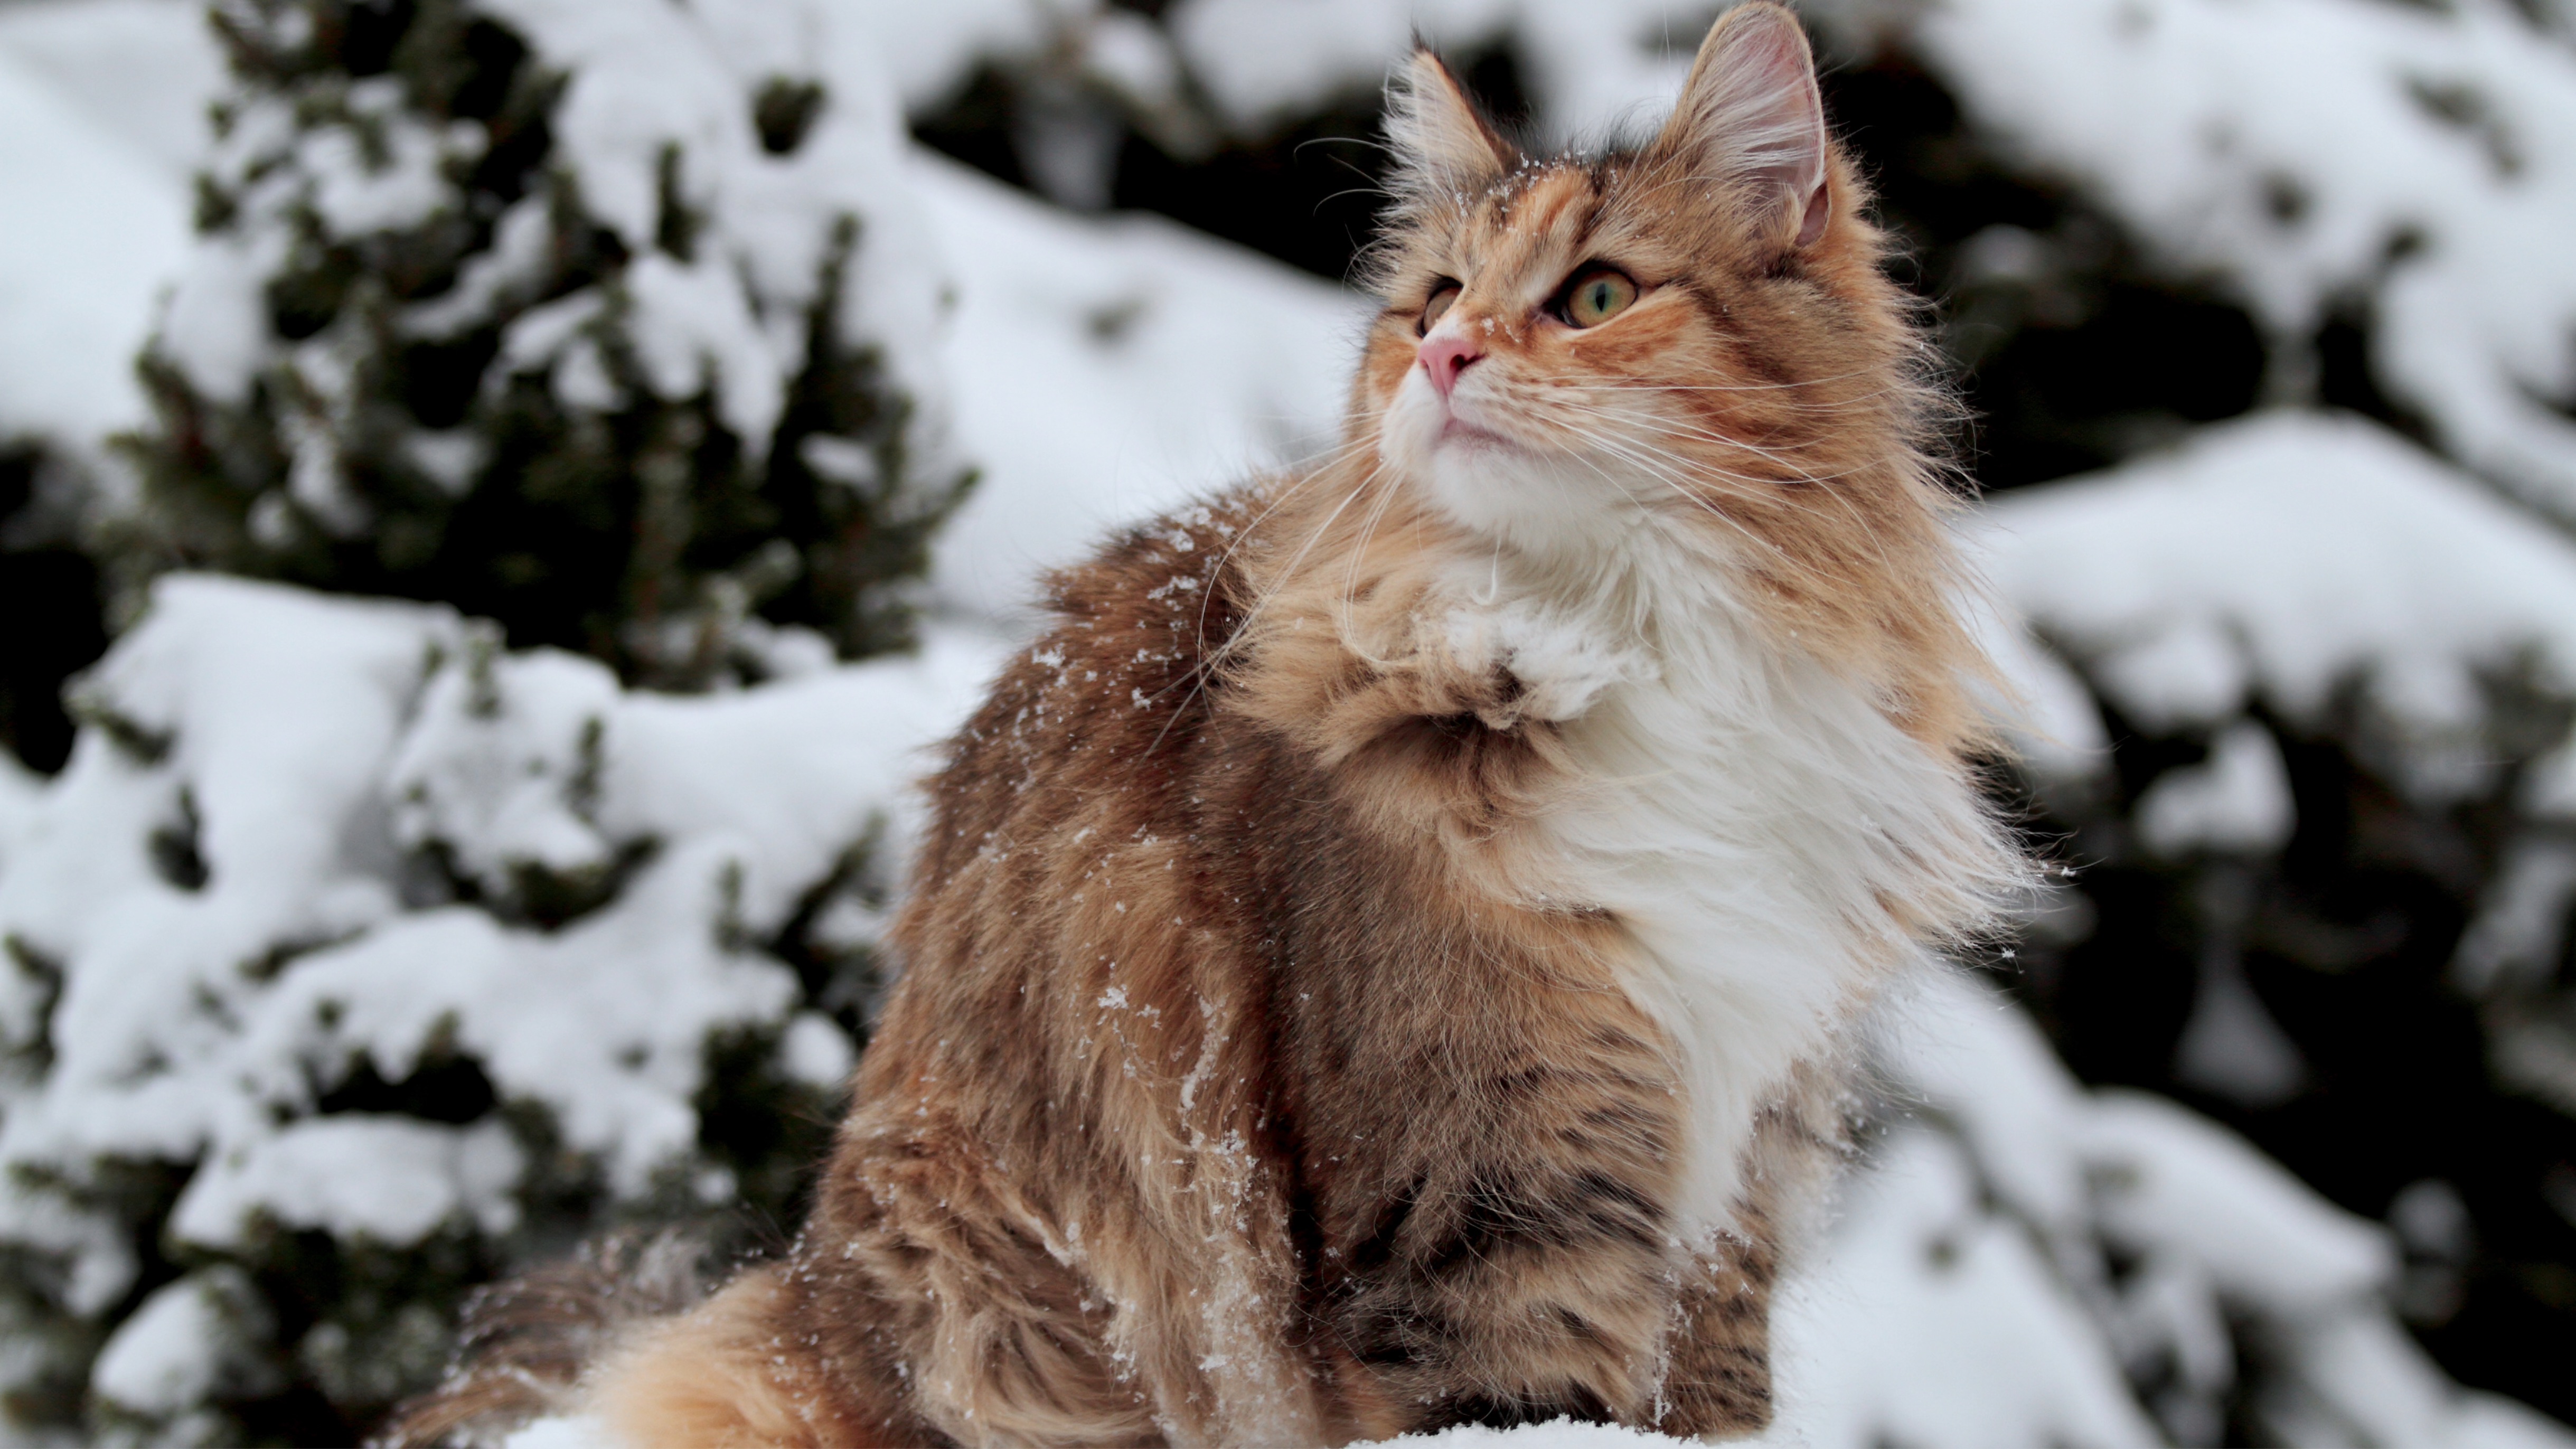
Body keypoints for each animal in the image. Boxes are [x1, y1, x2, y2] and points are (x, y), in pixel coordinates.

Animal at [391, 5, 2019, 1441]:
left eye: (1597, 298)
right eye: (1432, 303)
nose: (1446, 359)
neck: (1623, 637)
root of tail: (802, 1286)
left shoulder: (1738, 1161)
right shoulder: (1485, 1188)